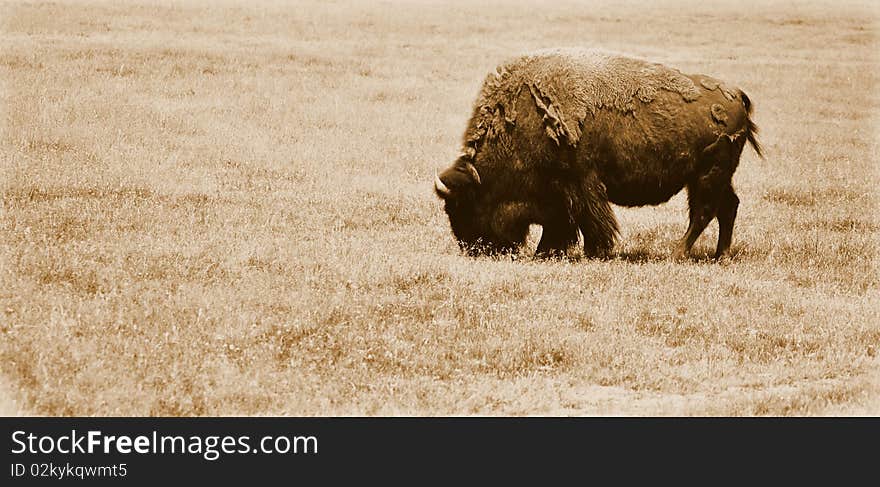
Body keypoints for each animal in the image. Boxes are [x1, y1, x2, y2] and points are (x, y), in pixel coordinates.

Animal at [434, 49, 764, 262]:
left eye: (460, 205)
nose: (473, 249)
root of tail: (737, 94)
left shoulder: (580, 184)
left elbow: (590, 221)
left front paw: (595, 252)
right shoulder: (559, 194)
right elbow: (561, 225)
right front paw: (549, 252)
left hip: (708, 175)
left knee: (704, 212)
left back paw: (678, 253)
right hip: (713, 176)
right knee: (727, 207)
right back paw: (721, 255)